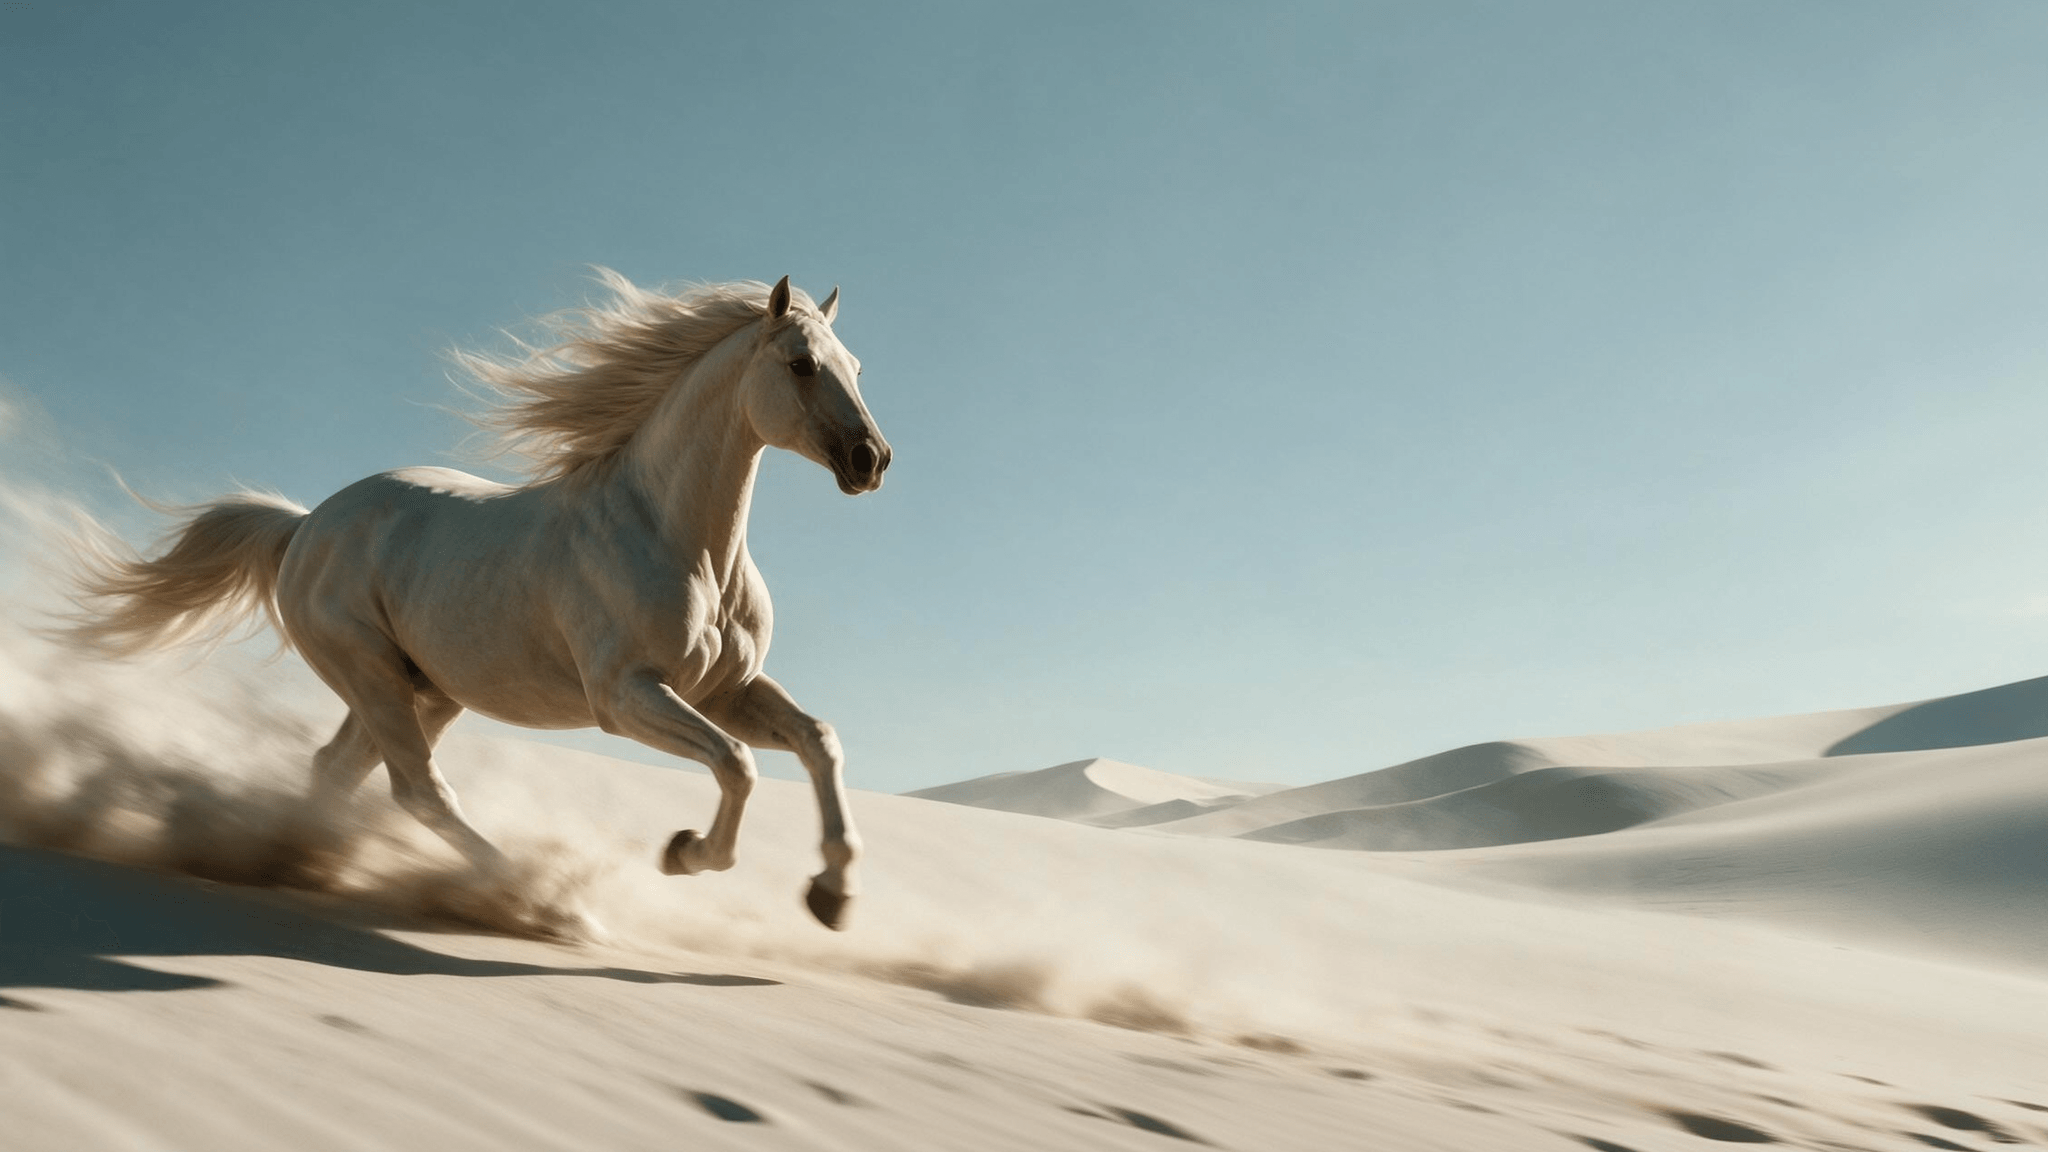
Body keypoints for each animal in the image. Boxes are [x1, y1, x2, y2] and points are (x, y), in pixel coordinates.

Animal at [64, 271, 889, 929]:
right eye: (801, 364)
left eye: (854, 365)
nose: (870, 460)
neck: (674, 536)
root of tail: (304, 526)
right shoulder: (626, 696)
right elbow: (737, 766)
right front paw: (685, 853)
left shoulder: (728, 689)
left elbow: (818, 741)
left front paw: (833, 895)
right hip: (370, 672)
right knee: (420, 790)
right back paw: (546, 904)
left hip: (425, 689)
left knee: (340, 770)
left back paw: (301, 863)